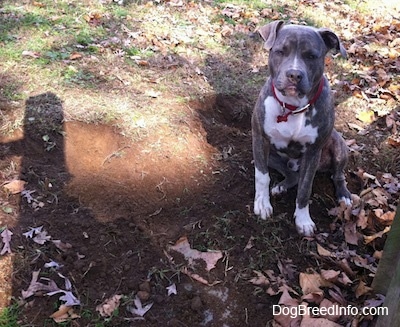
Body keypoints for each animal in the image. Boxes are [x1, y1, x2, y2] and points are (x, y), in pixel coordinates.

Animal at [253, 21, 350, 236]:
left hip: (339, 145)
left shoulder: (313, 153)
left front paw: (303, 220)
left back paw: (345, 196)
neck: (292, 107)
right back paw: (281, 186)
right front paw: (262, 203)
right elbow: (262, 176)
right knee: (292, 175)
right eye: (280, 51)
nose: (294, 74)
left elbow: (305, 189)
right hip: (270, 156)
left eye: (311, 56)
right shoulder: (259, 140)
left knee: (338, 175)